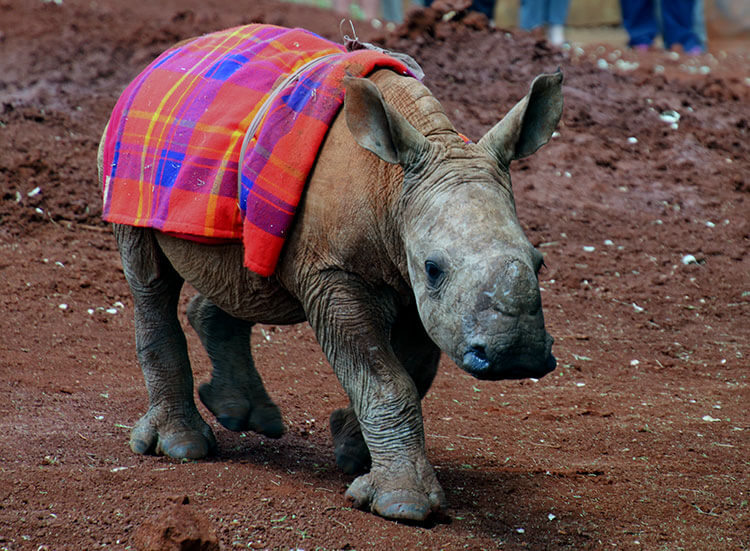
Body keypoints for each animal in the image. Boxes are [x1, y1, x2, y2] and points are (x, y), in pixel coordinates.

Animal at [103, 37, 568, 520]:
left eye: (539, 263)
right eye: (434, 268)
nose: (516, 357)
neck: (394, 181)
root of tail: (167, 56)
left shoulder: (411, 280)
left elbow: (414, 370)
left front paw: (350, 448)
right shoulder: (336, 272)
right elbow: (384, 378)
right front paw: (403, 506)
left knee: (247, 273)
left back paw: (245, 416)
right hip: (131, 158)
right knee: (149, 276)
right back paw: (184, 447)